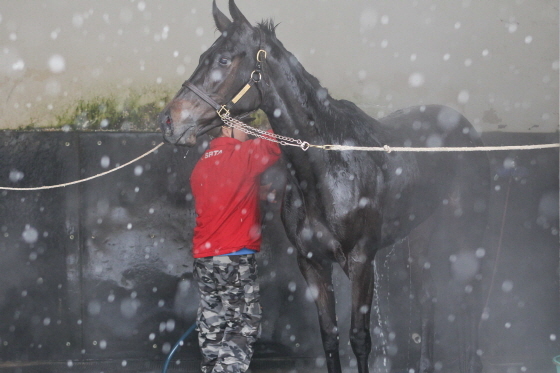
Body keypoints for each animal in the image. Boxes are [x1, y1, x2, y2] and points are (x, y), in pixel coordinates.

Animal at [158, 1, 490, 370]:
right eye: (204, 56)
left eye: (224, 60)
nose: (169, 121)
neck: (329, 167)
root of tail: (467, 128)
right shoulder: (313, 264)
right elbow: (329, 336)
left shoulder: (361, 261)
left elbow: (359, 338)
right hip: (419, 235)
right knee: (428, 298)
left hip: (467, 233)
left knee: (472, 300)